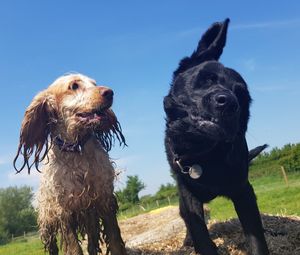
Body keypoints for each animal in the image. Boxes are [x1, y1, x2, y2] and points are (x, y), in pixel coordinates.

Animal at [14, 73, 127, 255]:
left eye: (94, 83)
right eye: (74, 86)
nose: (109, 92)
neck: (77, 149)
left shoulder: (104, 200)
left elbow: (115, 239)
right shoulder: (64, 211)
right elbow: (74, 248)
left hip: (90, 218)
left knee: (92, 244)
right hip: (48, 225)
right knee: (52, 247)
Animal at [164, 18, 270, 254]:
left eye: (241, 95)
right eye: (206, 79)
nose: (230, 103)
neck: (204, 155)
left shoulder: (244, 191)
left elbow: (256, 238)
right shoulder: (188, 194)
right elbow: (199, 231)